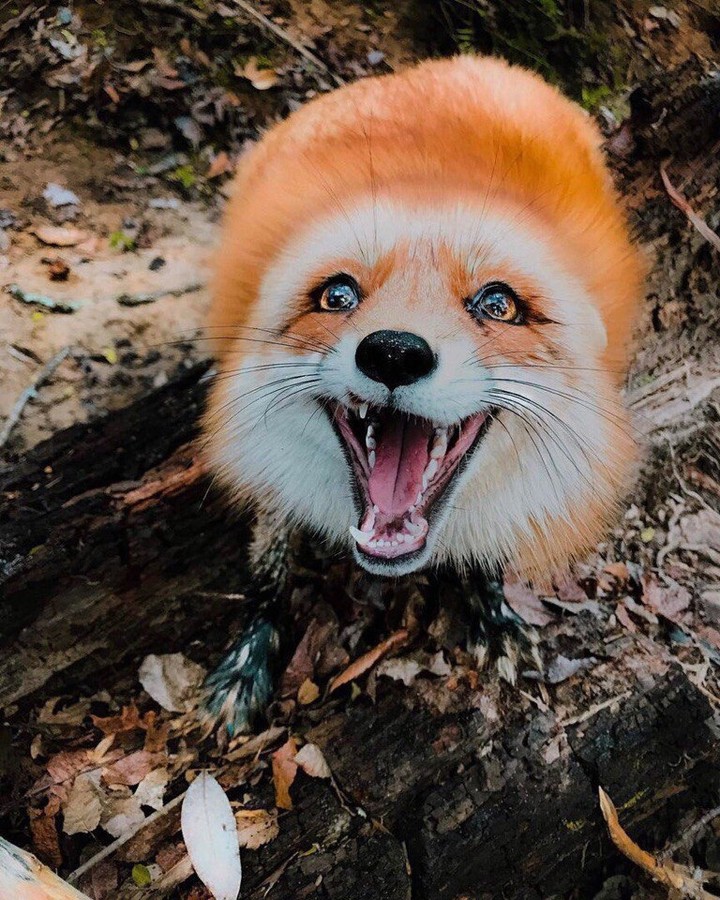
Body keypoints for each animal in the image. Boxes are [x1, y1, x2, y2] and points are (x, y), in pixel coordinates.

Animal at [200, 55, 643, 734]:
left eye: (498, 304)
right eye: (337, 295)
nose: (393, 352)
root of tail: (435, 67)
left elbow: (487, 552)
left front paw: (494, 612)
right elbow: (268, 570)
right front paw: (249, 658)